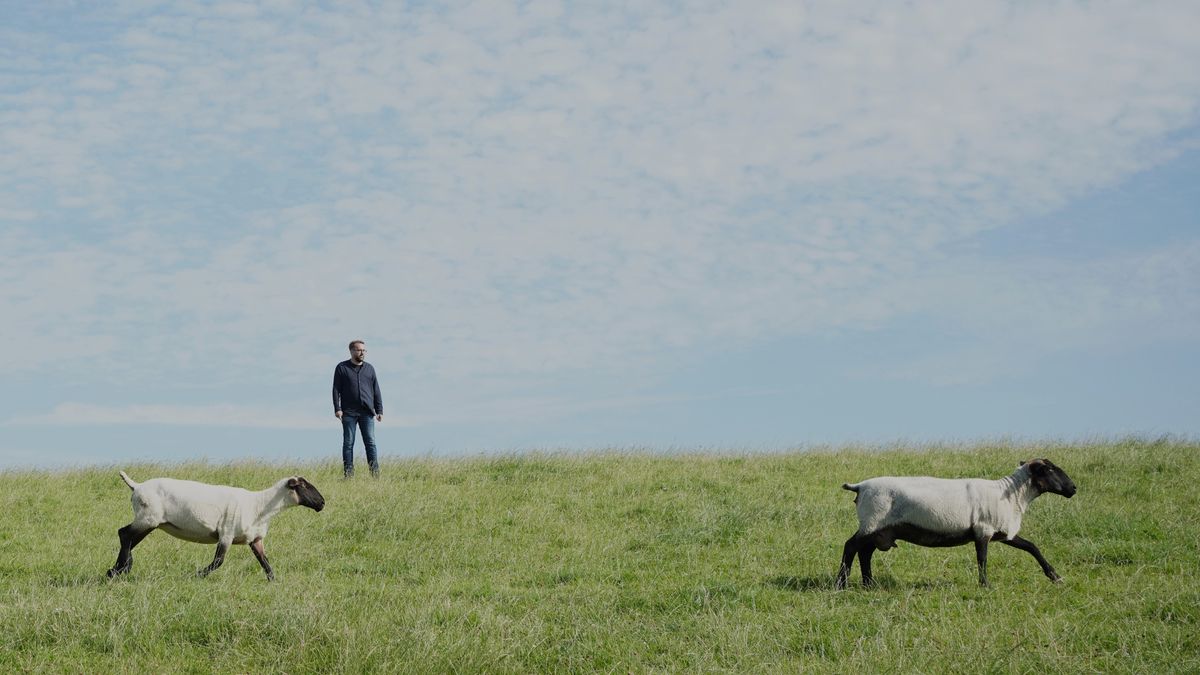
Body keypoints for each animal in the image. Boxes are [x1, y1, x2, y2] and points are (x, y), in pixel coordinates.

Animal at [107, 468, 321, 578]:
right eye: (303, 485)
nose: (322, 503)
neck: (259, 506)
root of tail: (136, 486)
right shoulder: (226, 534)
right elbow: (218, 561)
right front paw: (196, 576)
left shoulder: (255, 539)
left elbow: (266, 563)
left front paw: (273, 582)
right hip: (147, 518)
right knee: (124, 534)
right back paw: (119, 570)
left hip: (150, 522)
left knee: (128, 539)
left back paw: (118, 569)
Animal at [835, 456, 1080, 588]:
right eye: (1049, 469)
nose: (1073, 488)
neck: (1011, 495)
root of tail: (860, 486)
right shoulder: (983, 530)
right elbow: (982, 558)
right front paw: (985, 585)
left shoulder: (1002, 533)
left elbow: (1032, 547)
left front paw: (1055, 576)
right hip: (872, 523)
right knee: (850, 547)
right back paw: (841, 584)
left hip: (880, 530)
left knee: (865, 553)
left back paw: (869, 584)